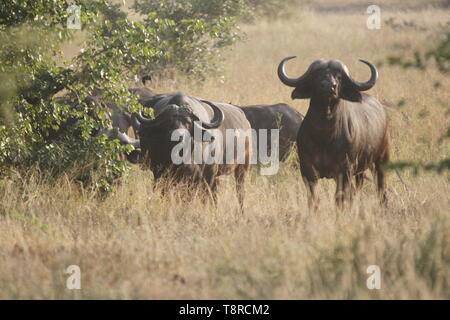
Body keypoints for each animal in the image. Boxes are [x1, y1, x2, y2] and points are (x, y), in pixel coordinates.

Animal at [276, 56, 388, 209]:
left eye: (339, 77)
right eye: (317, 76)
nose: (329, 86)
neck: (325, 136)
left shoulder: (344, 171)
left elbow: (339, 199)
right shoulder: (307, 170)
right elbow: (314, 198)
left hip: (381, 161)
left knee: (381, 189)